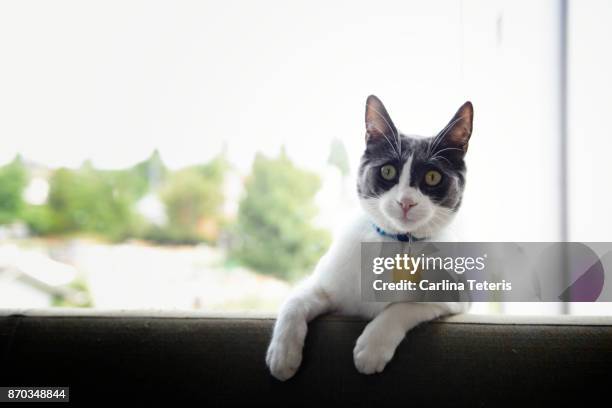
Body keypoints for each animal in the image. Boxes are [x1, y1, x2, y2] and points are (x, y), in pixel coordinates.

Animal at [264, 95, 474, 380]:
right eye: (387, 172)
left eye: (432, 177)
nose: (405, 202)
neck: (399, 243)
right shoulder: (330, 284)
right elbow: (295, 299)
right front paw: (282, 355)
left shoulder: (456, 298)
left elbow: (405, 306)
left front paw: (372, 347)